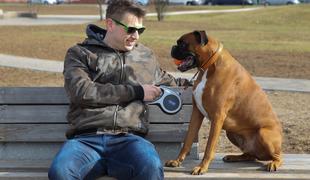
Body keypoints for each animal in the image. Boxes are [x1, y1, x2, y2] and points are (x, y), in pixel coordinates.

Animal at [166, 30, 282, 174]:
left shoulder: (217, 117)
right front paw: (177, 161)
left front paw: (202, 167)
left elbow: (209, 147)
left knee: (278, 156)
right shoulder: (196, 113)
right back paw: (234, 157)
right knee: (250, 155)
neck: (209, 66)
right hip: (231, 132)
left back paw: (274, 163)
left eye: (182, 44)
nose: (172, 47)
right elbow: (187, 140)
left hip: (263, 134)